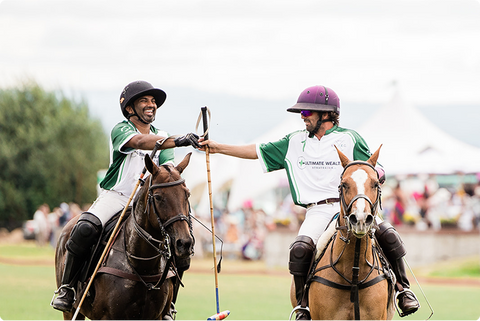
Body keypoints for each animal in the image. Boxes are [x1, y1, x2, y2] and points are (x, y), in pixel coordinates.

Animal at [54, 152, 193, 320]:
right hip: (72, 311)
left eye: (187, 194)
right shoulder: (107, 317)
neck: (143, 266)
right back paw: (64, 296)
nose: (184, 243)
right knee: (86, 227)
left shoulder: (157, 316)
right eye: (158, 197)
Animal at [290, 146, 396, 318]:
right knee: (300, 247)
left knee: (390, 235)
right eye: (344, 185)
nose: (360, 219)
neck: (354, 275)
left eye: (375, 184)